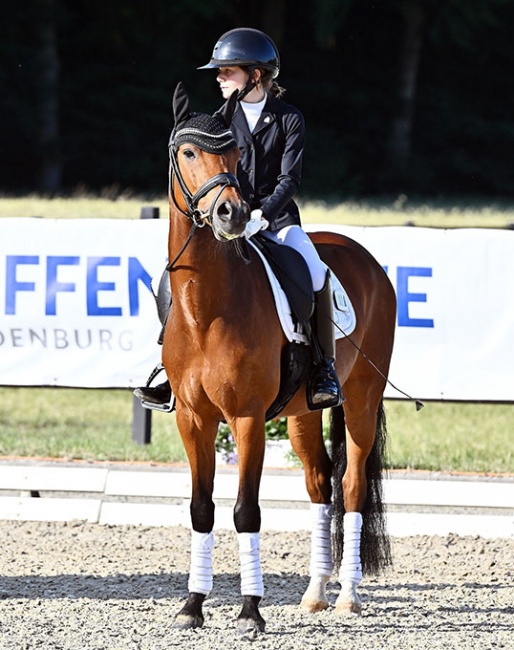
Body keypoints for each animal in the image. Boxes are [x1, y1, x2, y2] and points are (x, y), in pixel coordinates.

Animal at [162, 82, 394, 632]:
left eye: (232, 155)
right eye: (188, 153)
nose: (232, 214)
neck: (206, 308)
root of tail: (368, 258)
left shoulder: (246, 417)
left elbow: (246, 510)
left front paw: (251, 611)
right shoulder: (193, 418)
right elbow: (201, 509)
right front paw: (193, 606)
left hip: (361, 399)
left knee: (351, 485)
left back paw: (348, 597)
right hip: (302, 414)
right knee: (319, 483)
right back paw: (314, 594)